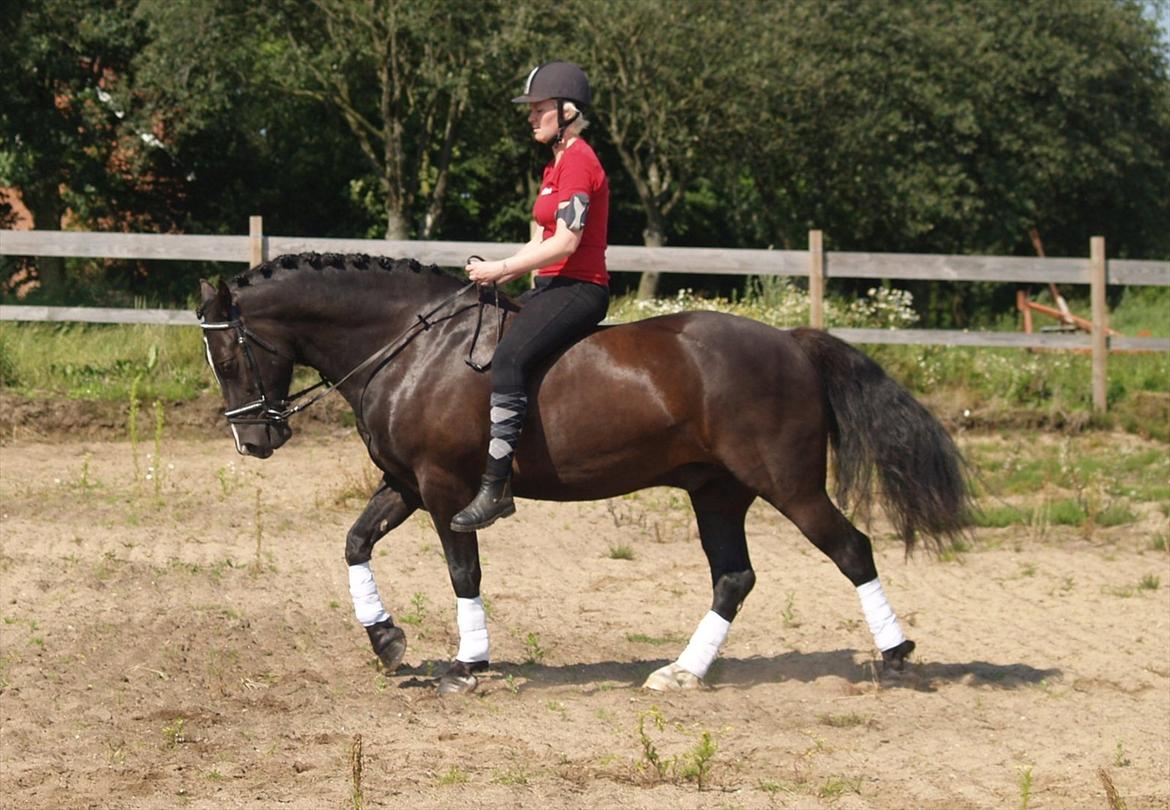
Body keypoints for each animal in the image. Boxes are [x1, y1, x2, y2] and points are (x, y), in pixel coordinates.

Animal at [198, 255, 968, 697]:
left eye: (230, 354)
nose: (253, 439)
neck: (410, 345)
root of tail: (791, 342)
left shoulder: (445, 489)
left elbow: (463, 572)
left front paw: (468, 665)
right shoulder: (407, 484)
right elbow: (355, 543)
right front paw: (386, 640)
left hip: (791, 486)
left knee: (852, 550)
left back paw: (897, 658)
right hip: (718, 491)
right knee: (734, 577)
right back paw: (683, 672)